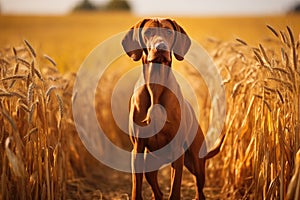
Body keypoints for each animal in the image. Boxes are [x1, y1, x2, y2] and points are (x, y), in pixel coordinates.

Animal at [122, 18, 225, 199]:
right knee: (157, 189)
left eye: (169, 32)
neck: (155, 87)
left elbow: (175, 189)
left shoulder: (177, 150)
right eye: (149, 32)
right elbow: (136, 187)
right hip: (150, 164)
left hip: (197, 164)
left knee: (199, 190)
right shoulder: (137, 148)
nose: (161, 47)